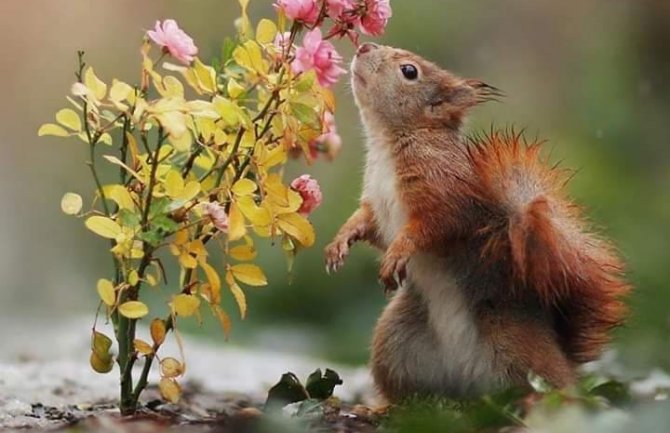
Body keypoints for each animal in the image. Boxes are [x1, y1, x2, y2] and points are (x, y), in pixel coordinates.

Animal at [326, 44, 632, 402]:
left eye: (409, 71)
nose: (364, 46)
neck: (388, 145)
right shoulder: (375, 203)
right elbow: (365, 224)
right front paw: (340, 241)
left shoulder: (448, 194)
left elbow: (429, 228)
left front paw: (398, 253)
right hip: (395, 344)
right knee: (411, 398)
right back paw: (380, 407)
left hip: (516, 345)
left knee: (550, 389)